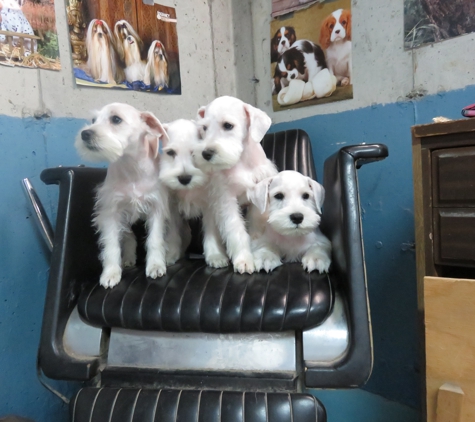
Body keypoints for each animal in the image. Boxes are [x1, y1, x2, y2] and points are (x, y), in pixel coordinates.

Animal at [75, 103, 176, 286]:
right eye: (93, 120)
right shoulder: (111, 213)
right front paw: (111, 273)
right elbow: (111, 245)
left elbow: (154, 240)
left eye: (116, 119)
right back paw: (128, 259)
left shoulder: (156, 209)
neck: (131, 168)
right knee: (129, 236)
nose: (85, 134)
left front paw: (156, 265)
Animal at [159, 118, 230, 268]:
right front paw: (171, 254)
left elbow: (210, 230)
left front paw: (215, 255)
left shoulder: (209, 206)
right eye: (170, 153)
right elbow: (173, 232)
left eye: (195, 153)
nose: (184, 179)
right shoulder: (173, 209)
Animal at [192, 95, 278, 274]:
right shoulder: (226, 200)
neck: (242, 160)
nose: (206, 153)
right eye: (204, 128)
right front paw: (244, 260)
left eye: (228, 125)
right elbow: (235, 230)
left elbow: (256, 224)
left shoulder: (258, 197)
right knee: (210, 231)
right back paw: (215, 256)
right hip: (212, 211)